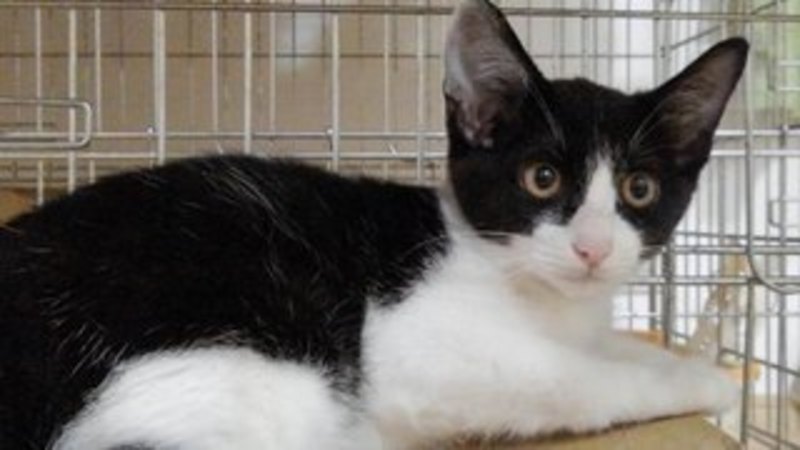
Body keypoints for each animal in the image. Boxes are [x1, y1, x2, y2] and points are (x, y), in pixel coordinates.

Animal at [0, 0, 748, 449]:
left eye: (639, 189)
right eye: (543, 178)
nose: (592, 249)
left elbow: (619, 350)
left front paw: (690, 361)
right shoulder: (416, 344)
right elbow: (576, 380)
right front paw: (711, 385)